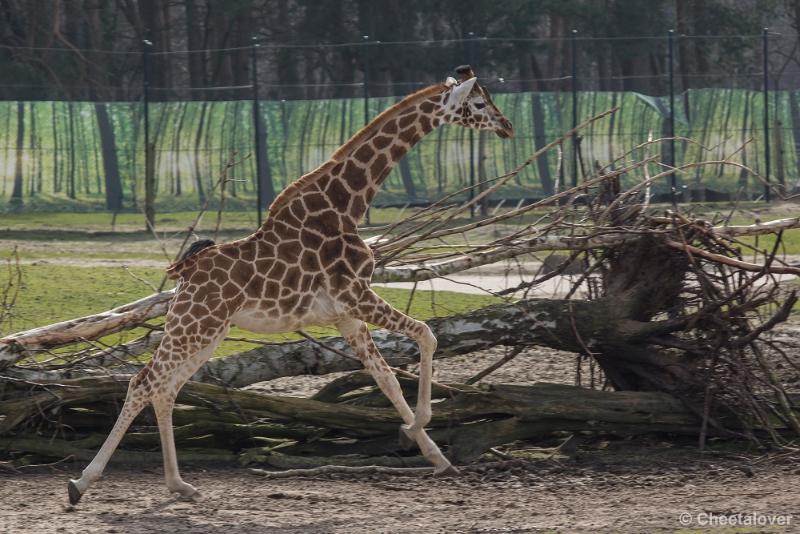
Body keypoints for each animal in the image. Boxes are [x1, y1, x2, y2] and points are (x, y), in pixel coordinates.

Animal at [67, 65, 512, 504]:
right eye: (478, 103)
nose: (506, 125)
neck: (346, 207)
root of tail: (187, 271)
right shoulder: (357, 296)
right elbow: (426, 335)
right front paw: (417, 427)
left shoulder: (347, 315)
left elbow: (386, 378)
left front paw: (435, 455)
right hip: (196, 324)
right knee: (145, 382)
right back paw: (81, 483)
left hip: (208, 330)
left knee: (165, 388)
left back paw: (178, 484)